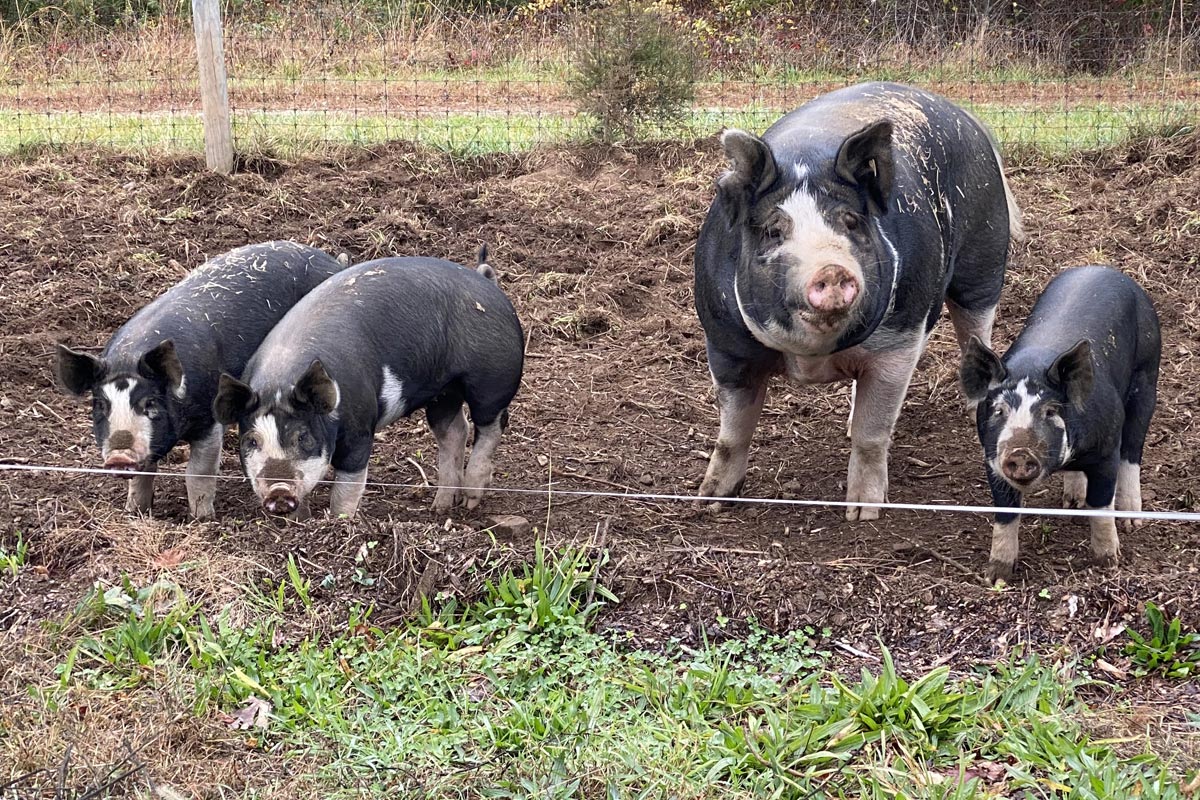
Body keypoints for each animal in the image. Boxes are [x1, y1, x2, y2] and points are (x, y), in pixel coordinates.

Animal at [55, 241, 347, 519]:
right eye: (100, 405)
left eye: (150, 403)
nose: (118, 456)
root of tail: (331, 260)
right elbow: (143, 475)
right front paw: (135, 511)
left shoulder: (209, 419)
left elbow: (198, 472)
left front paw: (202, 518)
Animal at [211, 249, 524, 519]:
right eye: (251, 441)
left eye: (304, 437)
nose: (278, 492)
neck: (279, 380)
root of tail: (487, 283)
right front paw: (300, 521)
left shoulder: (360, 426)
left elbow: (347, 486)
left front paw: (341, 522)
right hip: (444, 390)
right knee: (455, 429)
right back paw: (441, 507)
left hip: (492, 379)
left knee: (491, 424)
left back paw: (471, 499)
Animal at [694, 82, 1024, 520]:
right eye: (773, 230)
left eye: (850, 222)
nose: (832, 269)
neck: (810, 357)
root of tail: (965, 116)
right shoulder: (724, 343)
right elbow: (732, 432)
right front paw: (709, 502)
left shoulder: (898, 342)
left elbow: (873, 432)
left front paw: (863, 513)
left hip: (984, 260)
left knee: (977, 328)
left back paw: (974, 412)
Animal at [960, 265, 1161, 584]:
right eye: (999, 410)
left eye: (1050, 411)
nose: (1020, 452)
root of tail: (1103, 269)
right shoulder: (992, 460)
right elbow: (1005, 514)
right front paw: (995, 577)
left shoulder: (1107, 450)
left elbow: (1101, 504)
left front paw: (1108, 563)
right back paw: (1072, 502)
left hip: (1147, 373)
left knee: (1133, 449)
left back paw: (1131, 521)